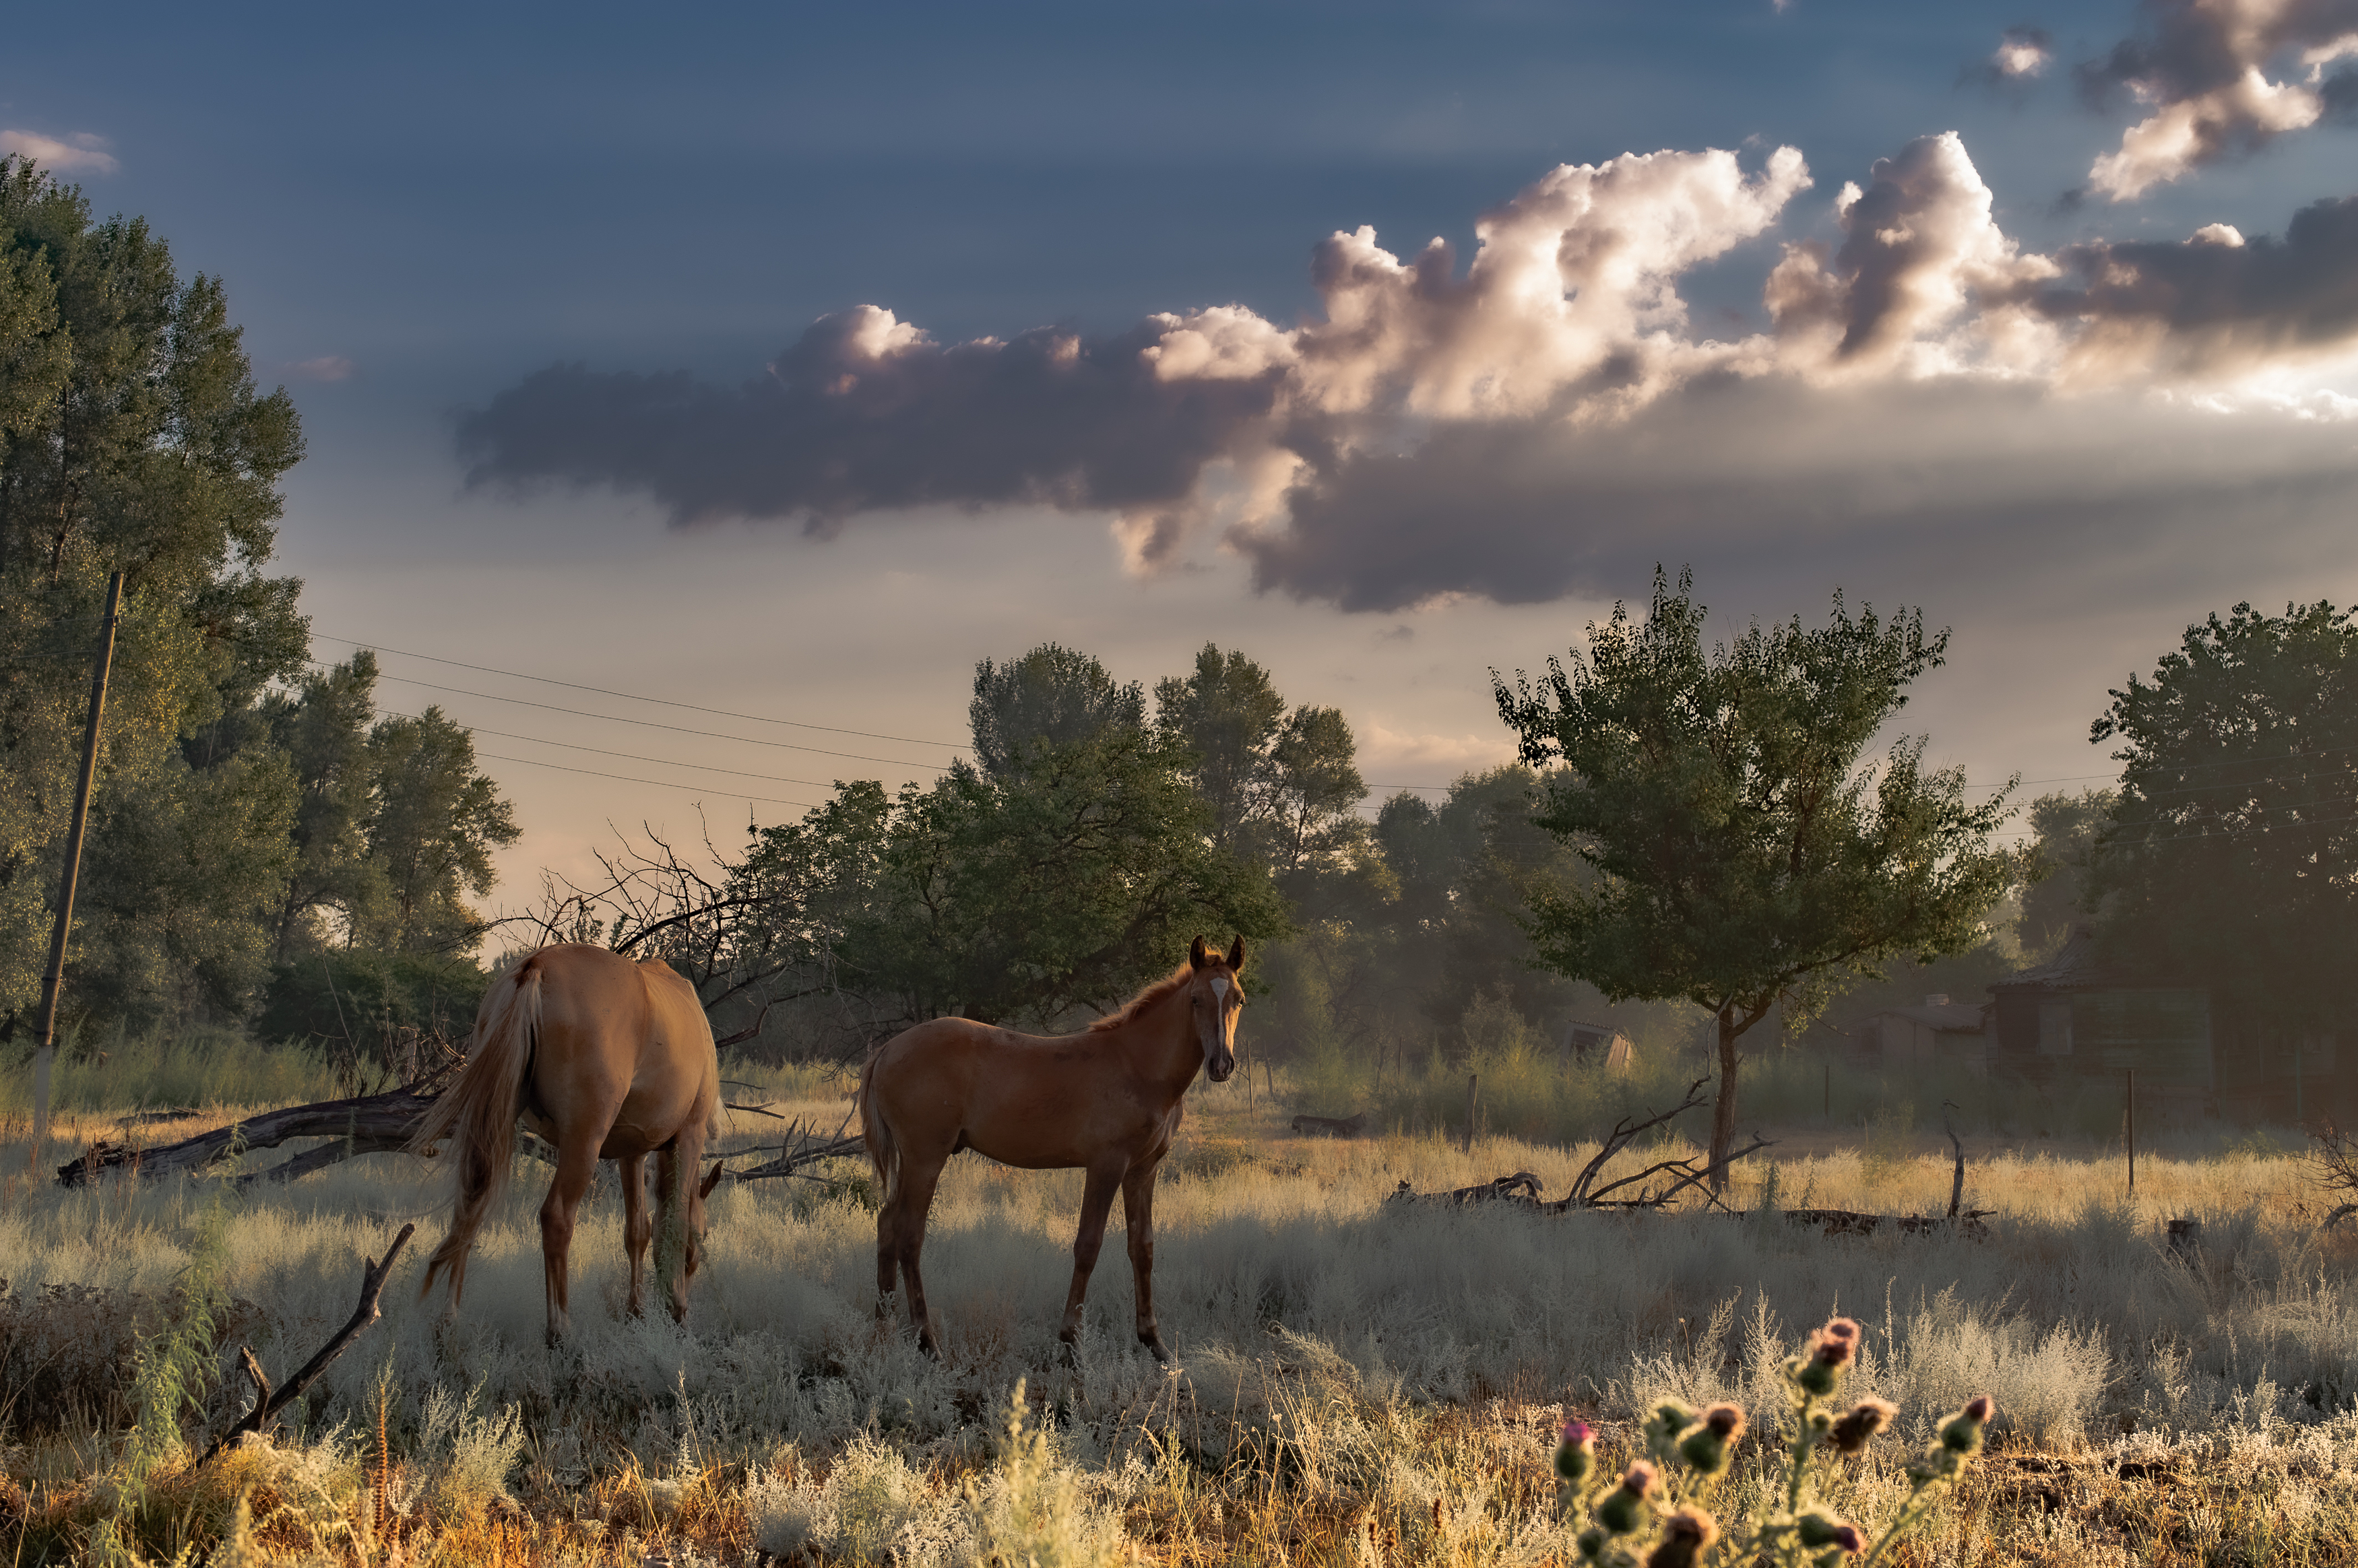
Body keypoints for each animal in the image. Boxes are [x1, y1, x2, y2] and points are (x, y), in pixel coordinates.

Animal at [410, 943, 717, 1330]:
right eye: (700, 1244)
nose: (687, 1290)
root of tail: (538, 966)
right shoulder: (689, 1137)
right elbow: (674, 1223)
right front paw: (674, 1307)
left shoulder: (632, 1151)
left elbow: (638, 1231)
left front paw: (636, 1310)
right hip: (582, 1143)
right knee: (556, 1219)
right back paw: (560, 1328)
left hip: (493, 1124)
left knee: (470, 1204)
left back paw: (449, 1320)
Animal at [854, 929, 1254, 1358]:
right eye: (1196, 999)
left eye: (1238, 999)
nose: (1221, 1065)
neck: (1138, 1066)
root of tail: (887, 1050)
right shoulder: (1106, 1165)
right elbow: (1088, 1246)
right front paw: (1071, 1340)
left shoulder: (1143, 1170)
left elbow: (1142, 1247)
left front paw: (1153, 1342)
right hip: (925, 1159)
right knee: (909, 1234)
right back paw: (927, 1341)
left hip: (911, 1163)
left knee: (887, 1225)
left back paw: (881, 1334)